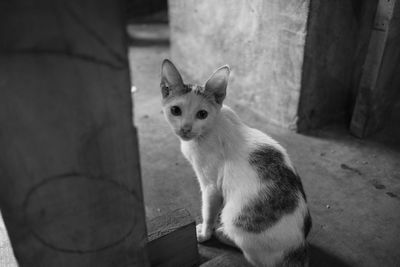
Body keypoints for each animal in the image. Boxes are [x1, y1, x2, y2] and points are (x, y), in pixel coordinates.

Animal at [160, 59, 312, 266]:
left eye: (202, 114)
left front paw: (205, 233)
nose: (186, 128)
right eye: (175, 110)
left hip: (235, 218)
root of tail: (298, 248)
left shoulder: (211, 185)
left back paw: (223, 233)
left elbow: (208, 210)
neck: (209, 130)